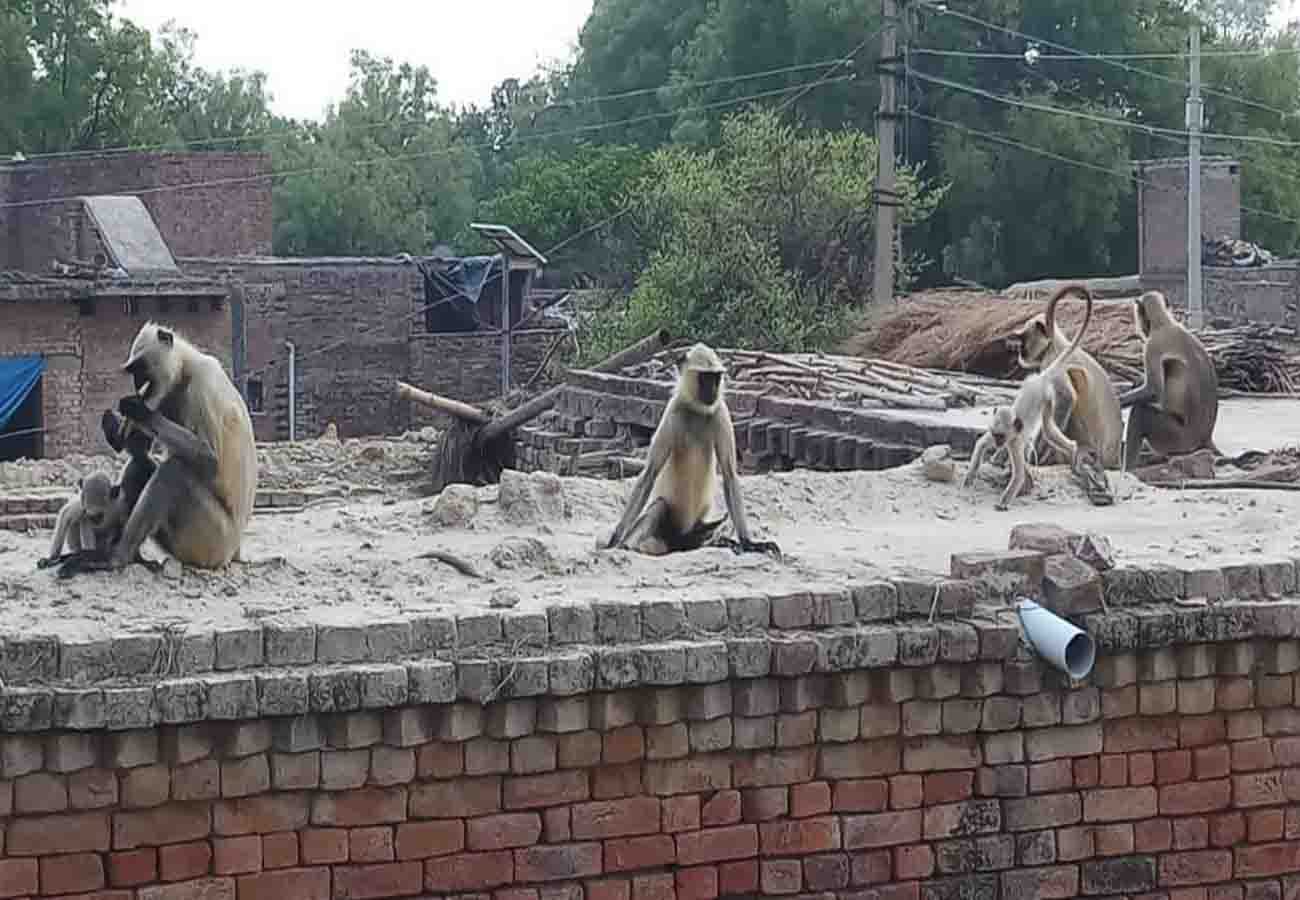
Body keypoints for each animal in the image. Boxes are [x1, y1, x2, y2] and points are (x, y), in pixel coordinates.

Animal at [57, 322, 258, 577]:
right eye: (132, 371)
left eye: (140, 368)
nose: (136, 384)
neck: (184, 370)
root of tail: (234, 552)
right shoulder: (167, 395)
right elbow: (140, 446)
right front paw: (114, 426)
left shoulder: (202, 383)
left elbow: (210, 459)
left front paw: (137, 410)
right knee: (143, 465)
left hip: (211, 539)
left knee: (173, 470)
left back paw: (115, 559)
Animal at [604, 342, 780, 559]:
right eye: (705, 378)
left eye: (716, 378)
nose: (713, 390)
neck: (697, 410)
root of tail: (681, 541)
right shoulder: (672, 413)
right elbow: (650, 473)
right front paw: (615, 538)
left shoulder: (720, 412)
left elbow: (729, 473)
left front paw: (748, 542)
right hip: (665, 532)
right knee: (659, 506)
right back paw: (628, 545)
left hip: (698, 528)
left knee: (717, 523)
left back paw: (720, 541)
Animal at [965, 288, 1094, 510]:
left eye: (1001, 437)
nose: (998, 444)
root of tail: (1041, 378)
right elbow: (981, 443)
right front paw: (970, 476)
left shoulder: (1014, 442)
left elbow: (1018, 474)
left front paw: (1003, 503)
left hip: (1048, 398)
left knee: (1048, 430)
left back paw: (1072, 449)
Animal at [1011, 284, 1124, 469]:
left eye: (1023, 338)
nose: (1020, 351)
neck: (1056, 345)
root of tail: (1112, 460)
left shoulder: (1051, 360)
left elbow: (1067, 397)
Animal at [1118, 290, 1219, 471]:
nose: (1141, 328)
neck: (1164, 323)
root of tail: (1205, 438)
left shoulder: (1152, 346)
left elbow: (1153, 391)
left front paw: (1118, 399)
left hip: (1177, 440)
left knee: (1141, 412)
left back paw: (1128, 469)